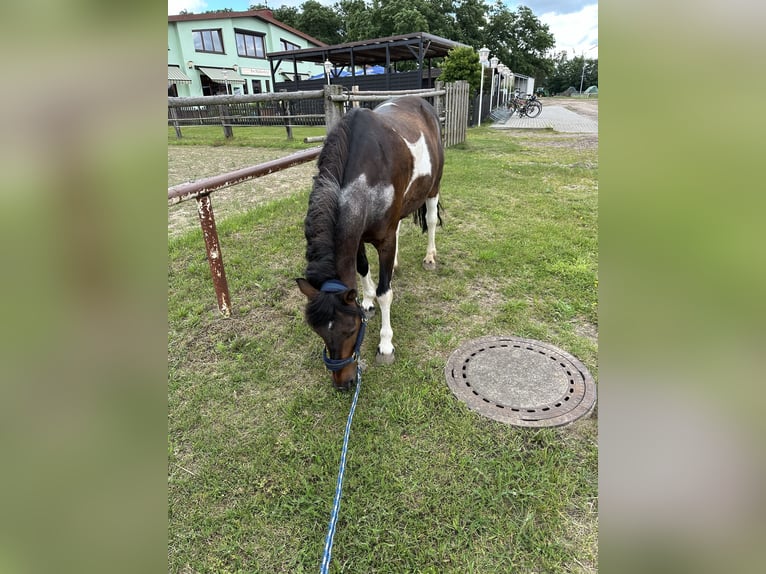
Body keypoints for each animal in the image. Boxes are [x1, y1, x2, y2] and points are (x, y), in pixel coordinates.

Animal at [296, 95, 448, 392]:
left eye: (352, 330)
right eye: (318, 332)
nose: (343, 383)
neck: (365, 173)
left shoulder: (384, 240)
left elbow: (385, 292)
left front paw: (385, 345)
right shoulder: (357, 237)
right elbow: (363, 268)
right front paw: (366, 300)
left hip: (433, 187)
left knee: (431, 219)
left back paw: (430, 258)